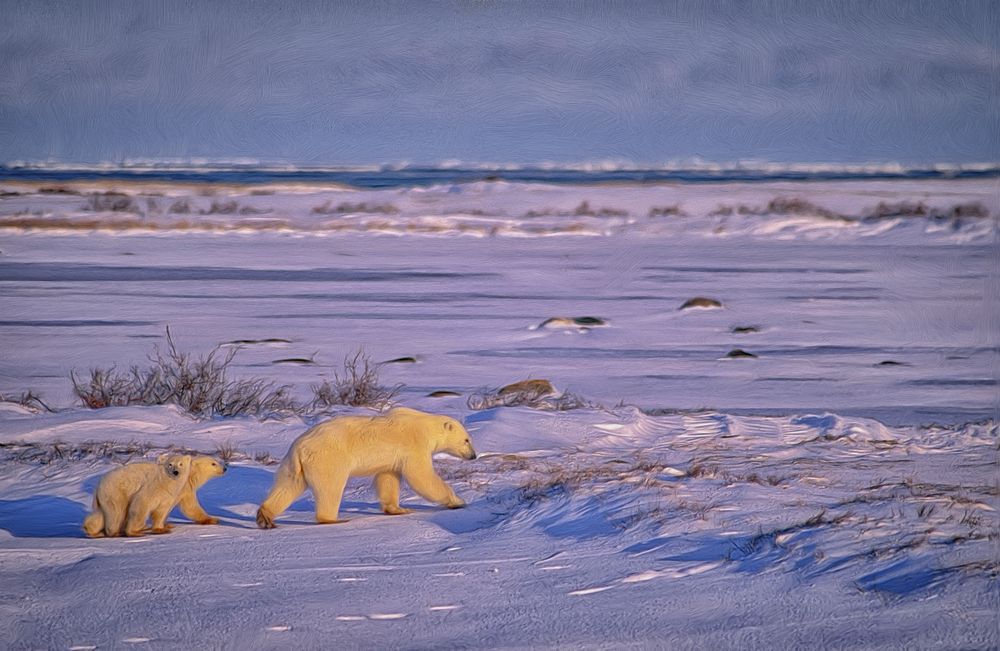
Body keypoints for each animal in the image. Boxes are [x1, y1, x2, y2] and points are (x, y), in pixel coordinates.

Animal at [256, 407, 477, 529]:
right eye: (467, 440)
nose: (473, 455)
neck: (426, 425)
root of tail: (299, 447)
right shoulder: (414, 444)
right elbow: (421, 476)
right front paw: (458, 501)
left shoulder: (392, 458)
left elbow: (388, 478)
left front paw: (398, 509)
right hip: (327, 458)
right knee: (330, 487)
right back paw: (334, 519)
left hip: (293, 465)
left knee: (287, 486)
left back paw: (265, 517)